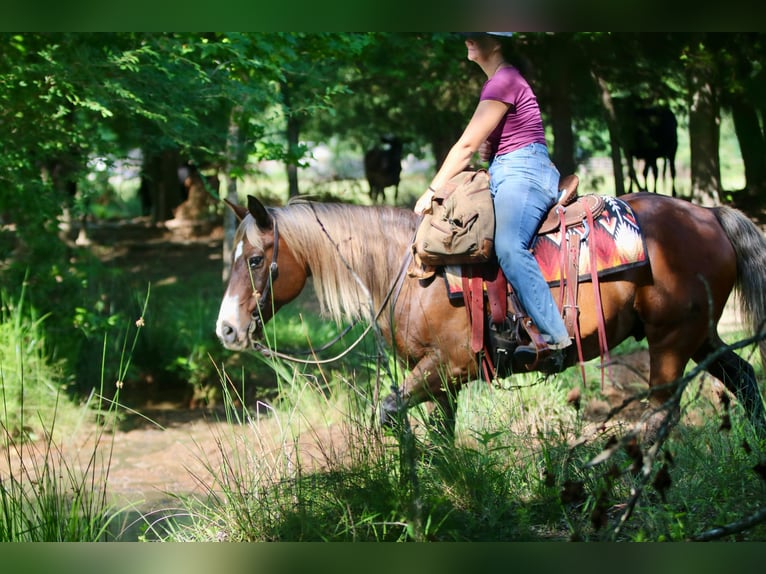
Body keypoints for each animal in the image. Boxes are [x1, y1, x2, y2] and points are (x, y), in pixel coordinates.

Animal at [215, 192, 766, 442]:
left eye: (256, 259)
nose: (227, 329)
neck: (412, 274)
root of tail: (708, 214)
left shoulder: (447, 367)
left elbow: (389, 412)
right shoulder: (441, 381)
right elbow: (440, 432)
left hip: (670, 339)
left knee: (660, 415)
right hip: (698, 334)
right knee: (743, 377)